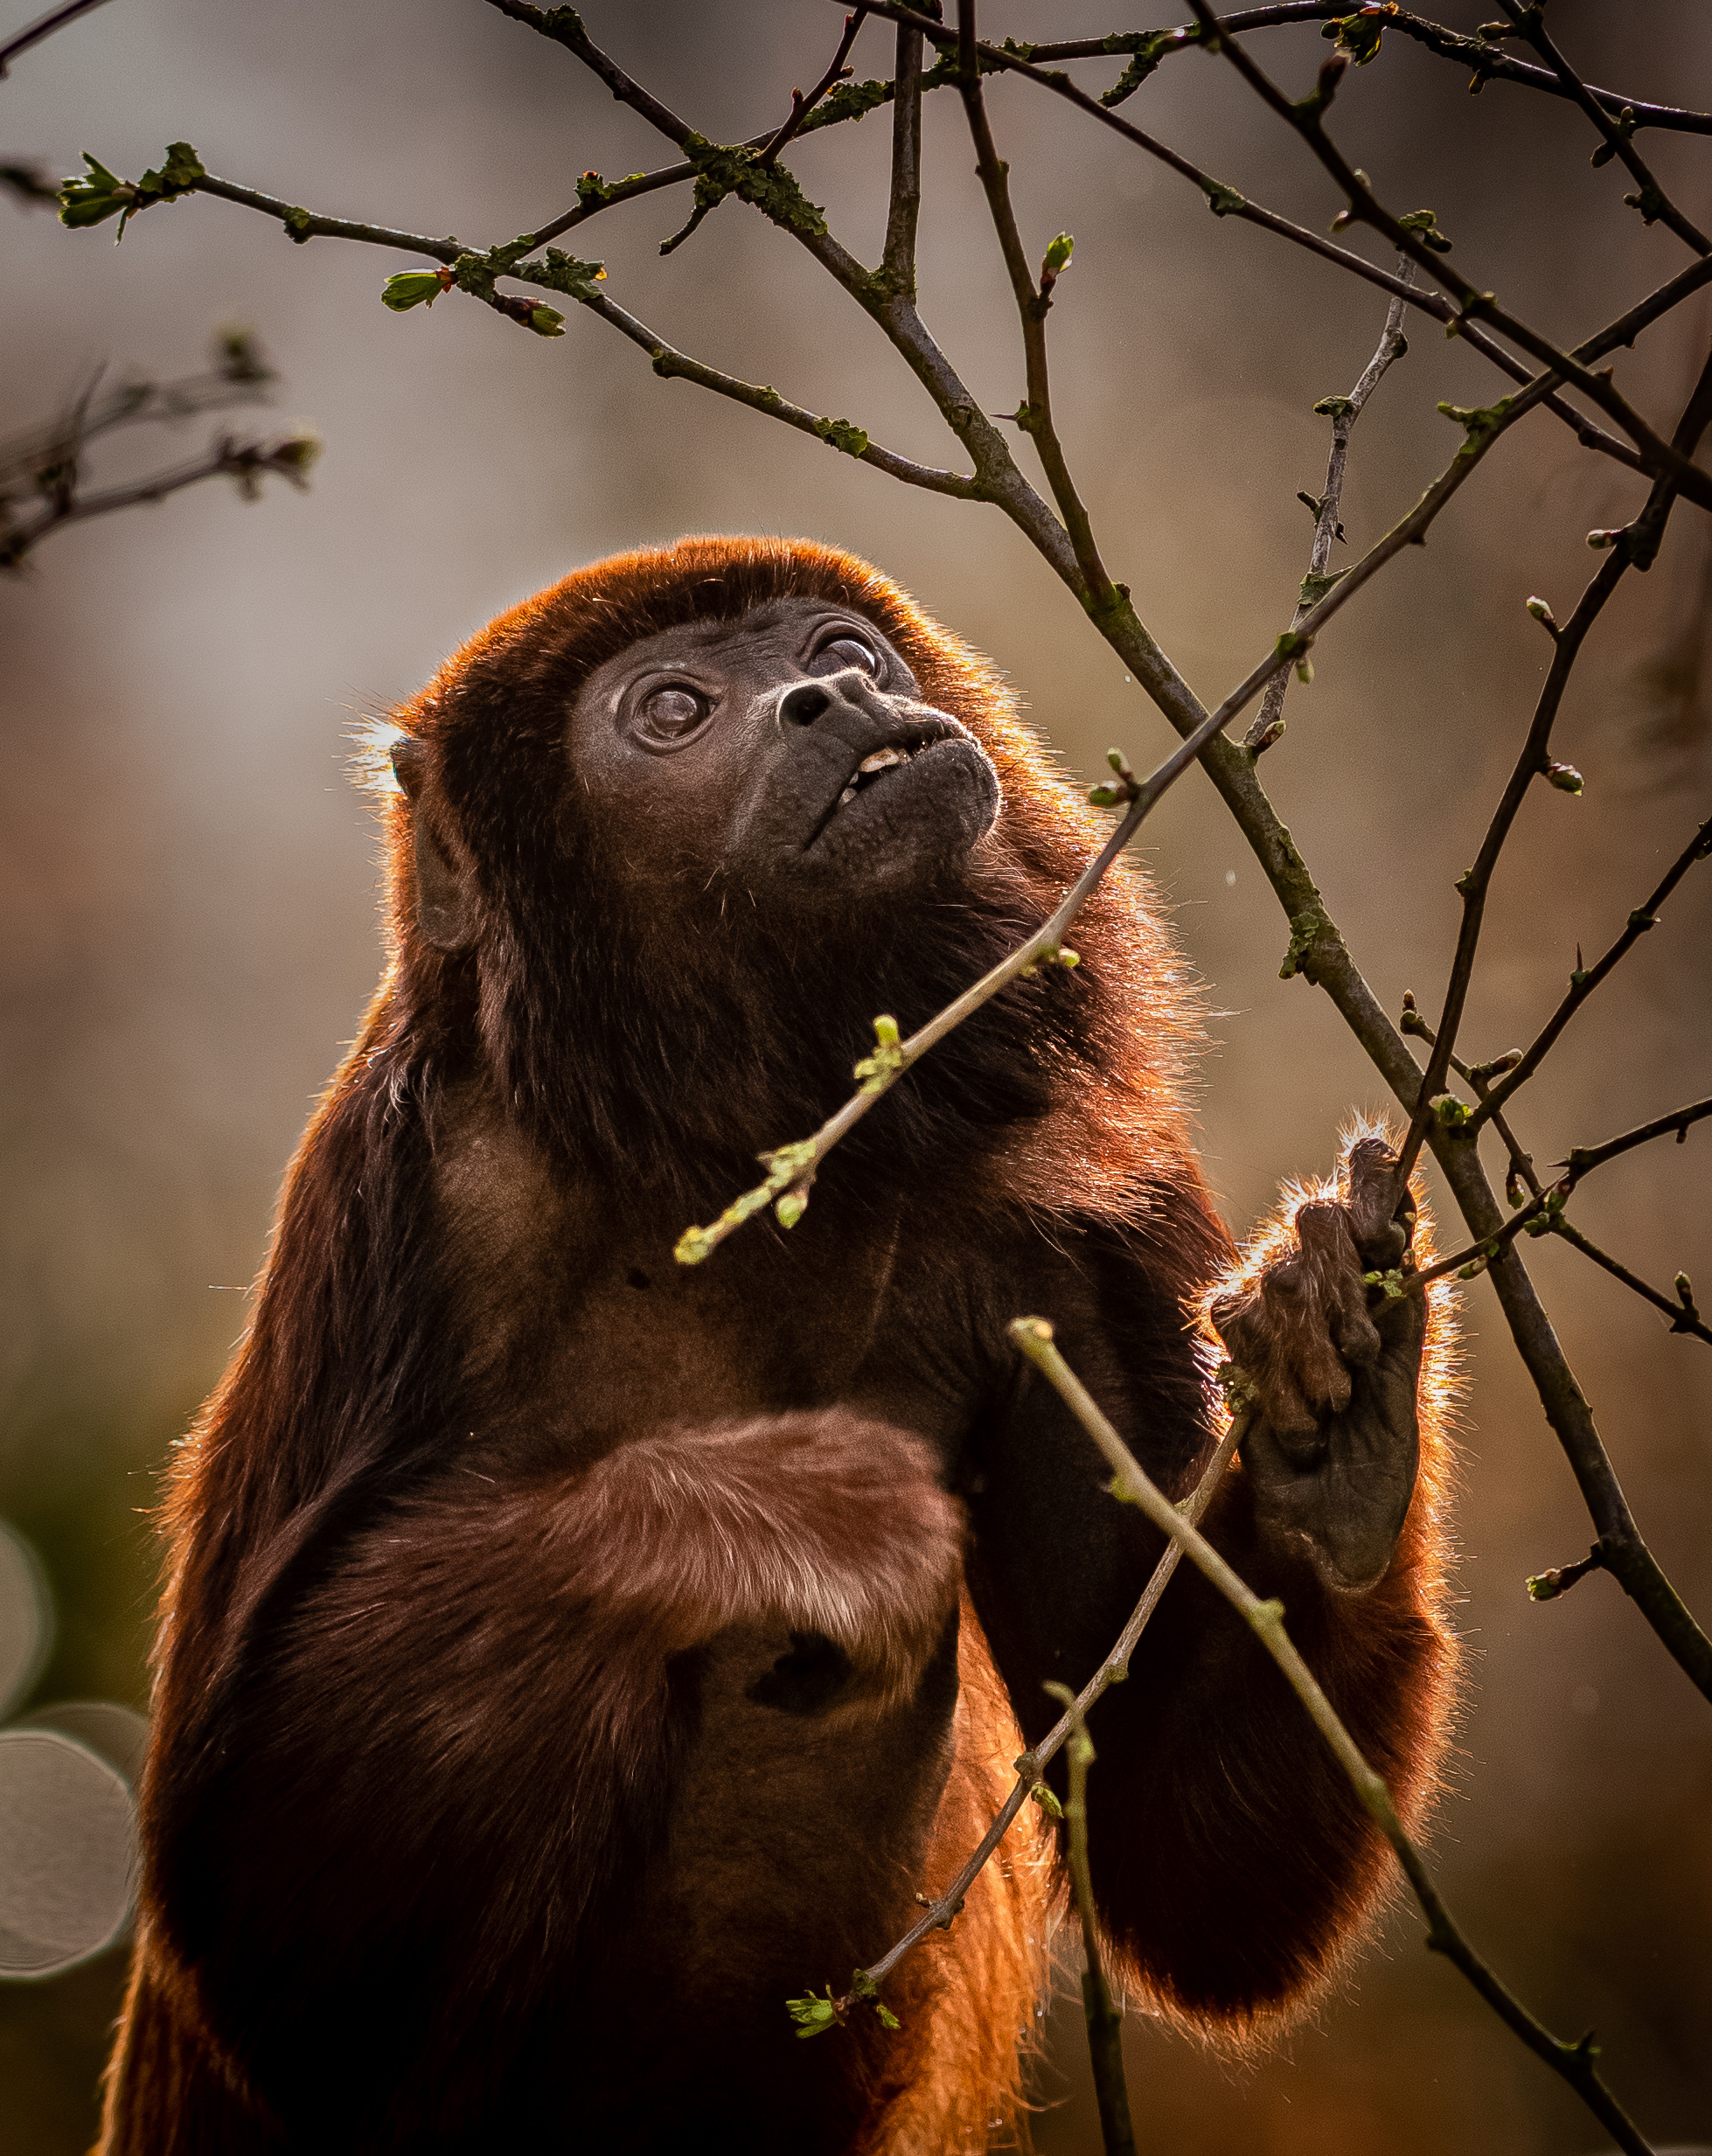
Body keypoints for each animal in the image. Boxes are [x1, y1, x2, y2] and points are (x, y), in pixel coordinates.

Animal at [96, 539, 1458, 2156]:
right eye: (674, 708)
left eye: (834, 649)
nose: (830, 698)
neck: (731, 1143)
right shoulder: (400, 1181)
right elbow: (254, 1916)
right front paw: (783, 1519)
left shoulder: (1089, 1205)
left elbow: (1186, 1871)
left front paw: (1333, 1404)